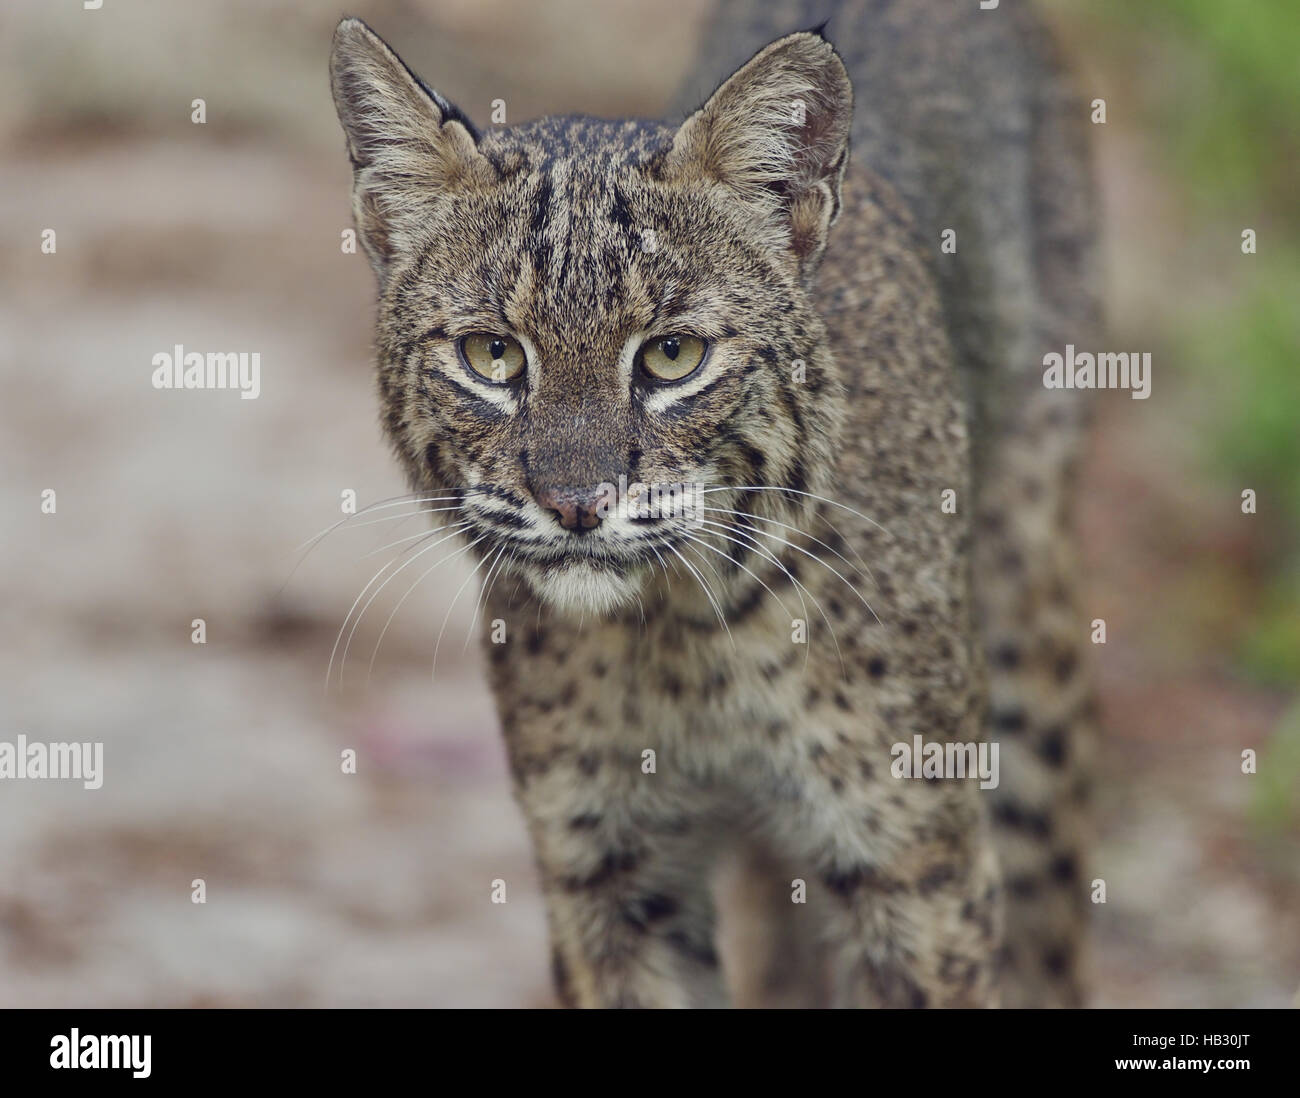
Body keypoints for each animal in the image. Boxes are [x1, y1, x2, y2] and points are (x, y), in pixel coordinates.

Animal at [327, 0, 1097, 1013]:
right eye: (492, 355)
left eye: (672, 356)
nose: (577, 503)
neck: (684, 629)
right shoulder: (605, 866)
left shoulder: (915, 861)